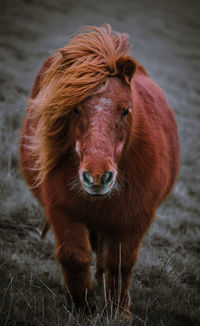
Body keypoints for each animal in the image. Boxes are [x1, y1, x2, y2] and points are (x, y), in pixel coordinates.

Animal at [19, 26, 180, 318]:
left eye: (126, 110)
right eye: (75, 108)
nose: (96, 177)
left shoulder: (134, 219)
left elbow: (119, 264)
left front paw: (118, 312)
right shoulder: (61, 210)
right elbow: (74, 256)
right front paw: (82, 308)